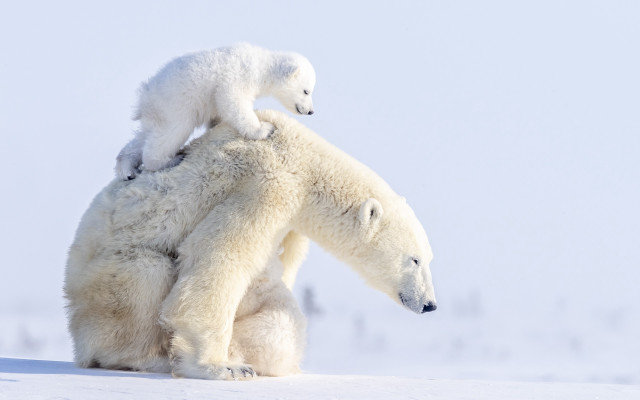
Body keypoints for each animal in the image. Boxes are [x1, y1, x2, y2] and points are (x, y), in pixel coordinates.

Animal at [64, 110, 436, 380]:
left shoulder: (291, 223)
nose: (430, 305)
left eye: (429, 258)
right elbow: (219, 256)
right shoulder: (268, 184)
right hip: (107, 274)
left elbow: (279, 284)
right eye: (415, 259)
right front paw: (221, 366)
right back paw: (149, 358)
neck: (305, 161)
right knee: (145, 278)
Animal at [115, 43, 316, 180]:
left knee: (143, 137)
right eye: (306, 91)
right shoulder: (237, 77)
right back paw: (168, 160)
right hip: (176, 105)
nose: (311, 111)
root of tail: (145, 95)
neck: (260, 65)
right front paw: (264, 129)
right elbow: (233, 101)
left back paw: (127, 169)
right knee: (168, 134)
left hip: (158, 113)